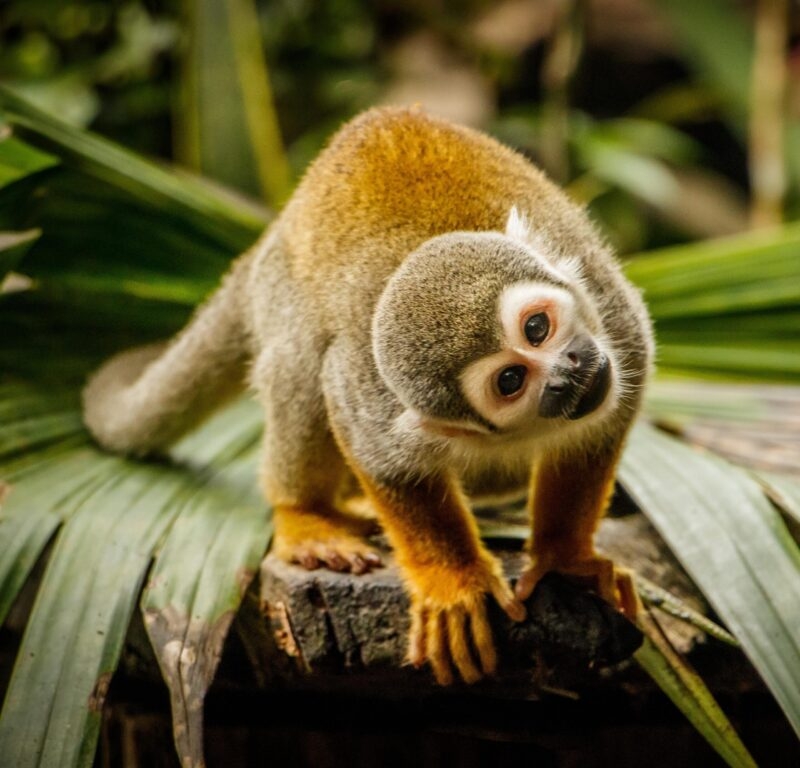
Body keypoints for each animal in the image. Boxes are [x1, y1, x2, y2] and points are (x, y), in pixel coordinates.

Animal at [83, 106, 654, 686]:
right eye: (511, 380)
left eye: (537, 327)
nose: (568, 371)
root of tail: (271, 234)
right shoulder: (372, 395)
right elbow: (385, 460)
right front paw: (453, 583)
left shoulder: (613, 317)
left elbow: (600, 427)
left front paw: (564, 556)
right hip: (280, 293)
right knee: (301, 364)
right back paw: (305, 514)